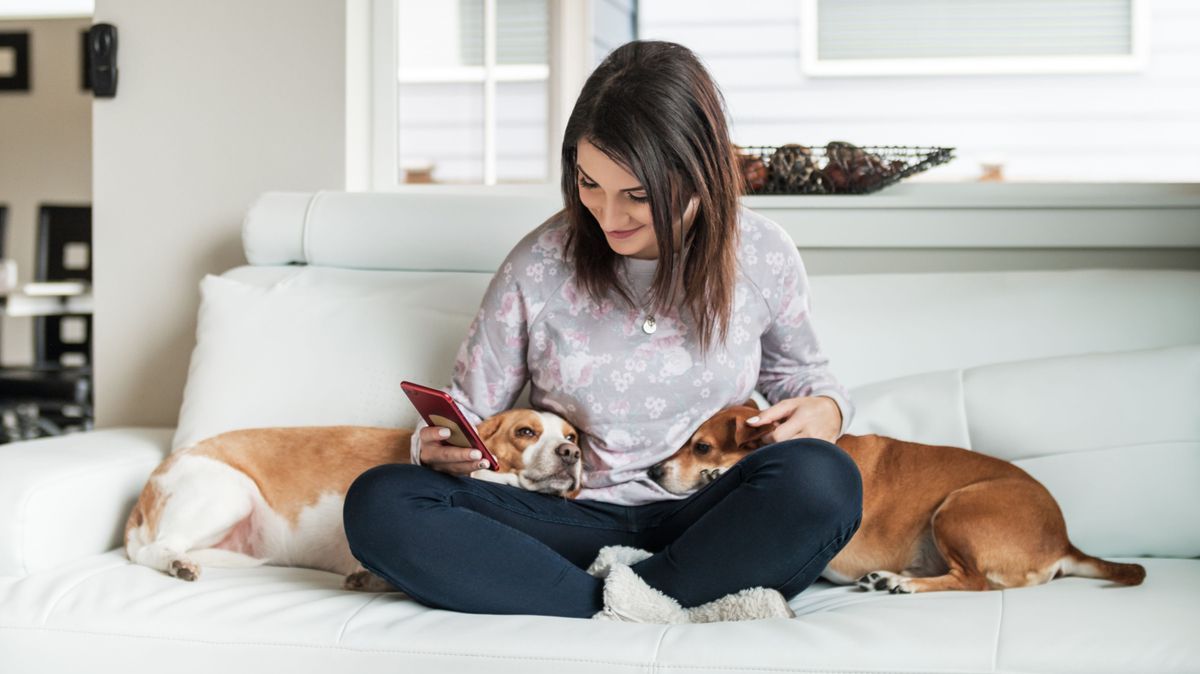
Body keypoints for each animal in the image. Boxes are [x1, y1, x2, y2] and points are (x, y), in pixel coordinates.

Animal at [124, 407, 583, 585]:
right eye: (526, 432)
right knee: (155, 550)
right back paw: (178, 564)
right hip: (230, 494)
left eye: (572, 437)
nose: (572, 455)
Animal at [648, 398, 1142, 592]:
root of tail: (1064, 542)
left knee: (974, 581)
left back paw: (905, 583)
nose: (653, 470)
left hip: (957, 509)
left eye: (701, 447)